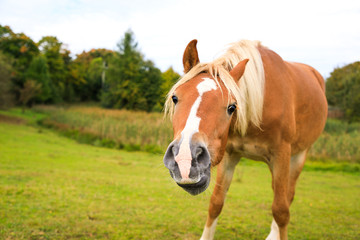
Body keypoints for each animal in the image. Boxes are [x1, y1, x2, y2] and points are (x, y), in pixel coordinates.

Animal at [163, 39, 330, 240]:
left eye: (232, 107)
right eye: (175, 97)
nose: (186, 159)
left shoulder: (281, 155)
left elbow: (281, 210)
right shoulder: (229, 155)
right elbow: (216, 202)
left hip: (298, 156)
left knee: (286, 197)